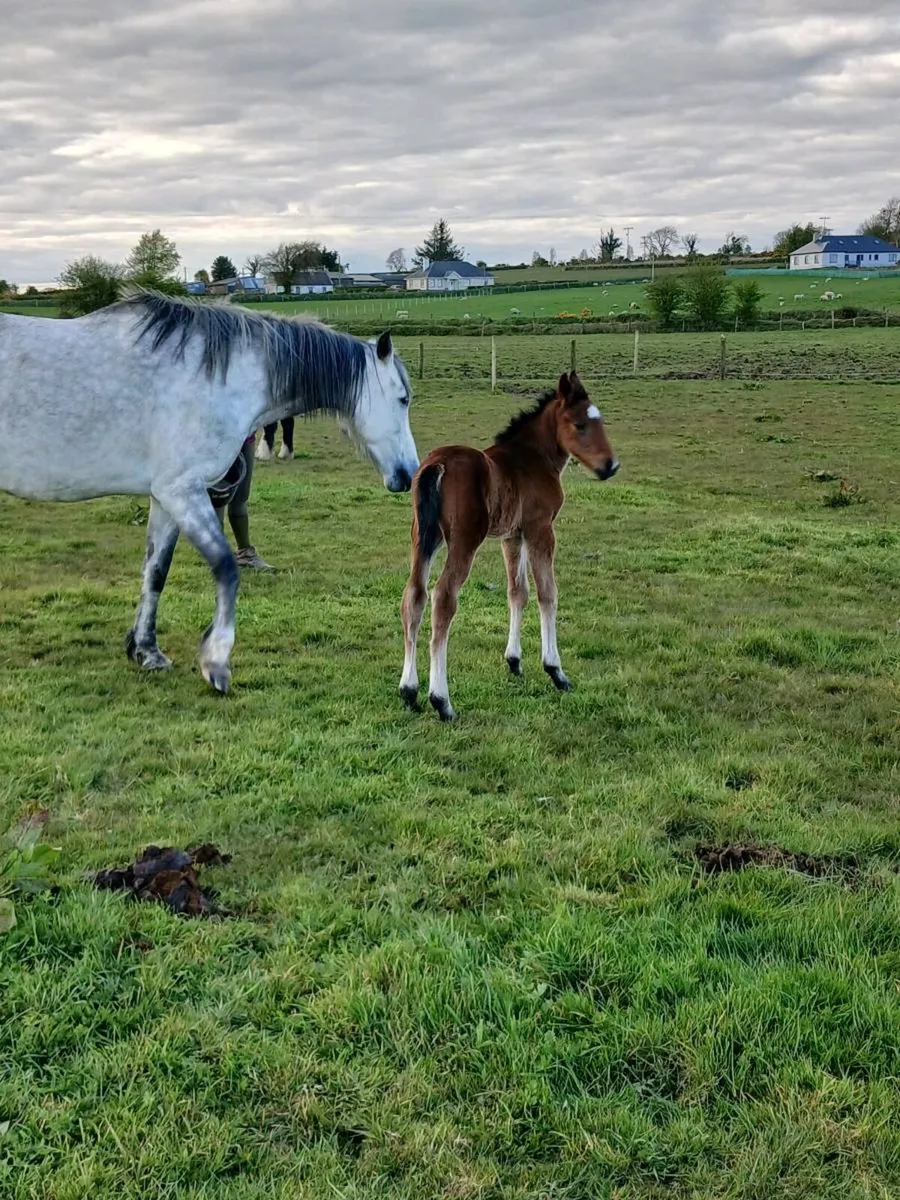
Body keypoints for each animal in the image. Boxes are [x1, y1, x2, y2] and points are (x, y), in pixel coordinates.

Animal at [0, 290, 419, 693]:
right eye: (403, 398)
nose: (410, 473)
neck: (218, 378)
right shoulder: (183, 491)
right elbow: (226, 567)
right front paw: (215, 663)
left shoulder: (165, 498)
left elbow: (156, 571)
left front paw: (146, 651)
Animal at [399, 371, 618, 720]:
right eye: (579, 424)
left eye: (600, 422)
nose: (610, 466)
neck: (533, 459)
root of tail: (437, 465)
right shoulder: (541, 529)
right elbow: (547, 593)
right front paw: (556, 671)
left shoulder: (512, 536)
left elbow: (518, 592)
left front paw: (514, 661)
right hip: (464, 540)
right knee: (443, 598)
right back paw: (441, 701)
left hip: (423, 537)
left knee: (414, 596)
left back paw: (409, 692)